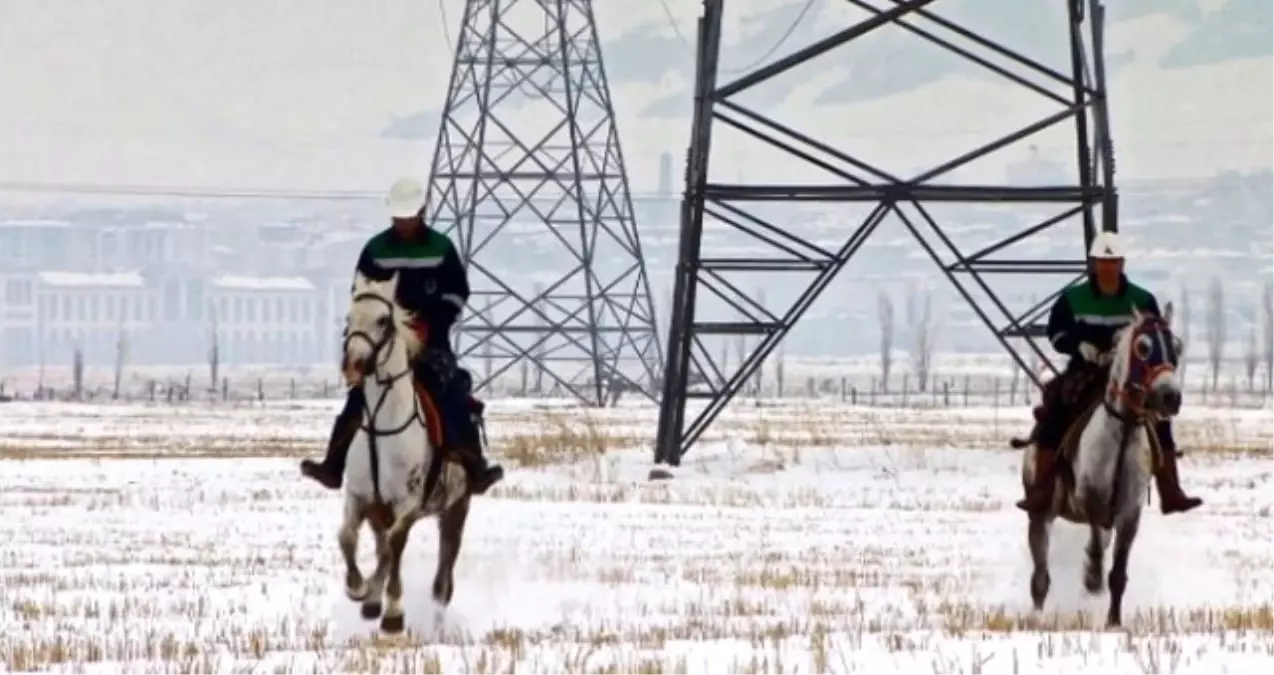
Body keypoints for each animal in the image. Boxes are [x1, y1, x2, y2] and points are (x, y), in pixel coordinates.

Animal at [338, 270, 473, 634]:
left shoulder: (408, 503)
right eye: (348, 318)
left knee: (442, 576)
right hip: (379, 511)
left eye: (383, 320)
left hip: (455, 510)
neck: (382, 426)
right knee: (381, 547)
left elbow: (395, 545)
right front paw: (358, 588)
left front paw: (394, 614)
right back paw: (372, 598)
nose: (354, 365)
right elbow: (347, 538)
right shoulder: (358, 496)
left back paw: (436, 622)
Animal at [1024, 303, 1182, 624]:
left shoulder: (1129, 514)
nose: (1170, 397)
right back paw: (1037, 616)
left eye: (1176, 348)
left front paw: (1113, 621)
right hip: (1040, 514)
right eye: (1143, 347)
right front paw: (1092, 578)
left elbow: (1118, 573)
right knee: (1040, 575)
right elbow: (1095, 543)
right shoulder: (1090, 499)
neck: (1122, 431)